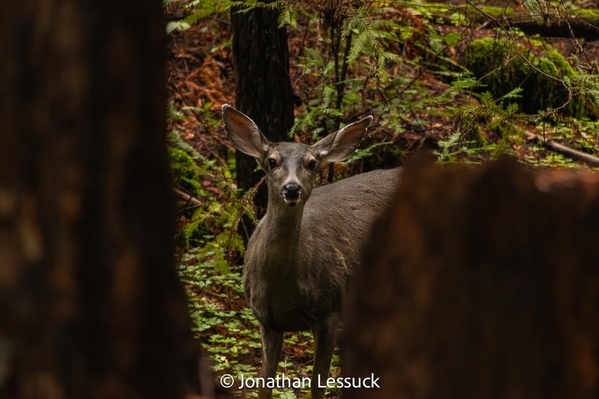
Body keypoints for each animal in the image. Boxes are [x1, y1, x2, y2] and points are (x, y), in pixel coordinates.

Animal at [223, 104, 400, 398]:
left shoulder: (330, 312)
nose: (292, 188)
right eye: (272, 161)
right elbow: (264, 385)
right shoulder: (266, 321)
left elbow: (318, 386)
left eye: (312, 163)